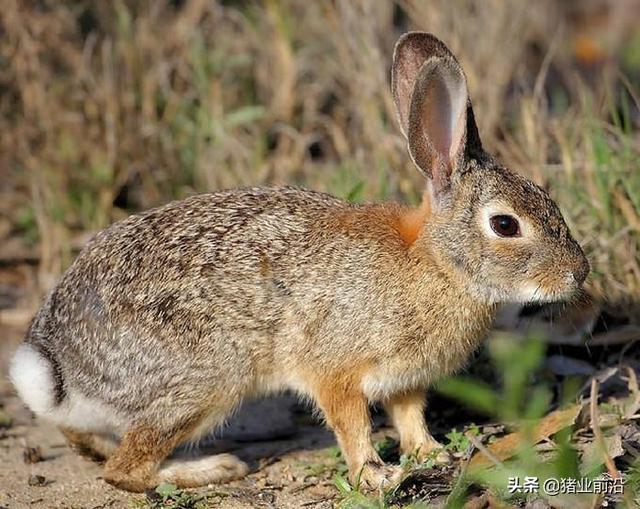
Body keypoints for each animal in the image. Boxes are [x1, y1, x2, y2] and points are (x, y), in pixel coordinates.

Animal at [11, 32, 592, 492]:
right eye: (505, 226)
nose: (578, 273)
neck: (436, 263)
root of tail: (59, 366)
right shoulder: (335, 369)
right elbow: (351, 424)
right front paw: (376, 476)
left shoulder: (404, 380)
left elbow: (409, 416)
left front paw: (429, 453)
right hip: (204, 380)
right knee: (125, 469)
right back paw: (213, 469)